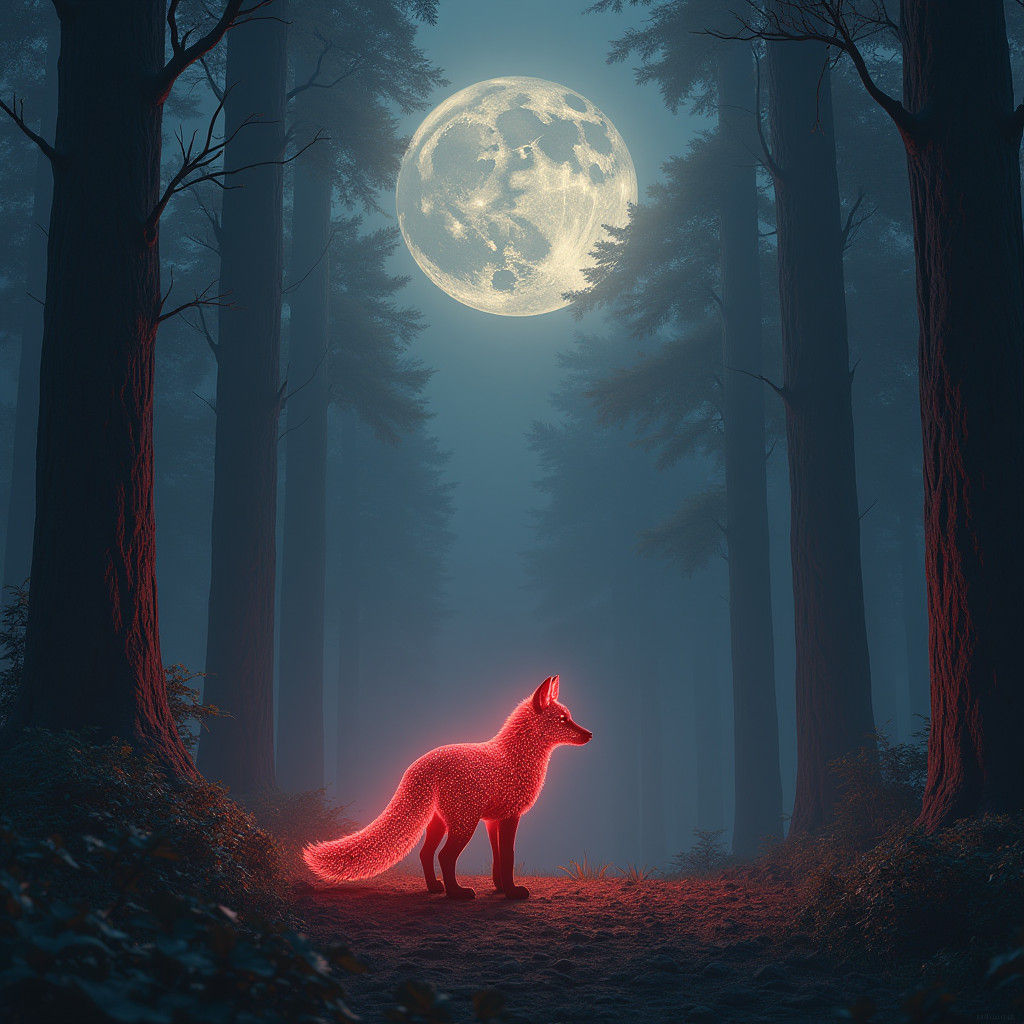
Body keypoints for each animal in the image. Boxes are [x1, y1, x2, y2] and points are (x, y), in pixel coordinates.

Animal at [303, 674, 591, 900]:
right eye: (563, 720)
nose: (589, 734)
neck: (514, 757)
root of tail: (420, 764)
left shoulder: (492, 821)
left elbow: (497, 858)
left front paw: (499, 887)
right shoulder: (510, 816)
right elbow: (508, 857)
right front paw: (512, 893)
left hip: (440, 822)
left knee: (425, 853)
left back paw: (434, 887)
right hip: (463, 824)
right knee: (444, 856)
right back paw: (456, 893)